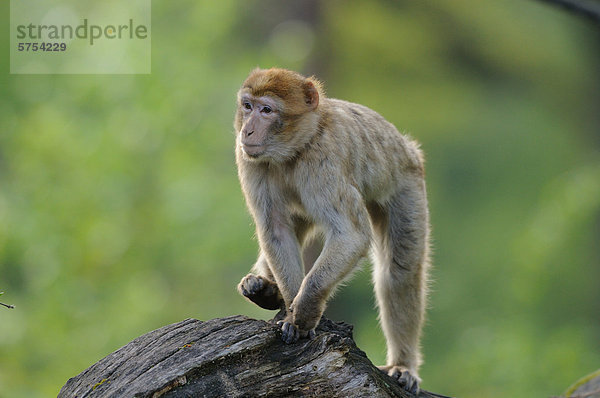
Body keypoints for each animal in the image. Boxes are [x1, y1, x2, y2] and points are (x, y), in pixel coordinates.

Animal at [236, 67, 432, 392]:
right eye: (247, 106)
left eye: (267, 110)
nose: (247, 131)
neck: (295, 151)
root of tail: (408, 148)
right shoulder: (250, 161)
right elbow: (276, 229)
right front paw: (289, 307)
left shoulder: (324, 161)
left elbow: (351, 235)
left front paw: (303, 312)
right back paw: (264, 288)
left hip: (407, 183)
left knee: (399, 271)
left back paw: (403, 365)